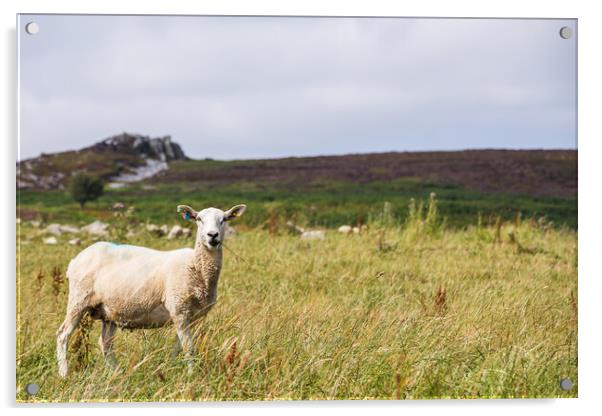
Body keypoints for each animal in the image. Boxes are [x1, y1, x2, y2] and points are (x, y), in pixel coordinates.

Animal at [54, 202, 246, 376]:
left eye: (224, 219)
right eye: (199, 219)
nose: (212, 236)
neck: (196, 266)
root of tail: (75, 260)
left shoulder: (191, 316)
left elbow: (179, 347)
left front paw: (170, 368)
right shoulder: (179, 310)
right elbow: (189, 348)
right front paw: (192, 376)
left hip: (109, 311)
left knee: (105, 344)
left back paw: (119, 374)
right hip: (78, 299)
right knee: (63, 335)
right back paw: (64, 374)